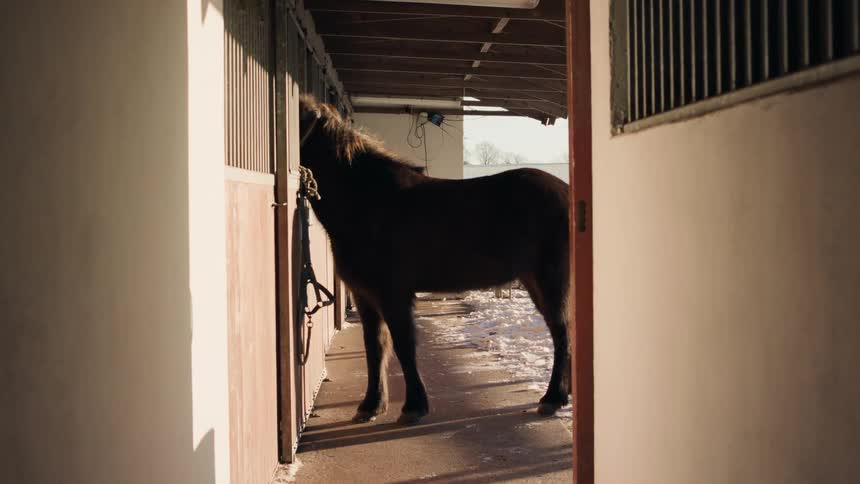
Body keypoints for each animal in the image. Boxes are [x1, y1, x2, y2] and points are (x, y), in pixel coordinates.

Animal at [298, 95, 571, 424]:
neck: (369, 202)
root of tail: (568, 192)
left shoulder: (393, 294)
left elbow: (404, 346)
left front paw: (414, 406)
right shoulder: (365, 296)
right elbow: (375, 348)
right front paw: (371, 405)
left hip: (549, 281)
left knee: (561, 333)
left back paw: (553, 398)